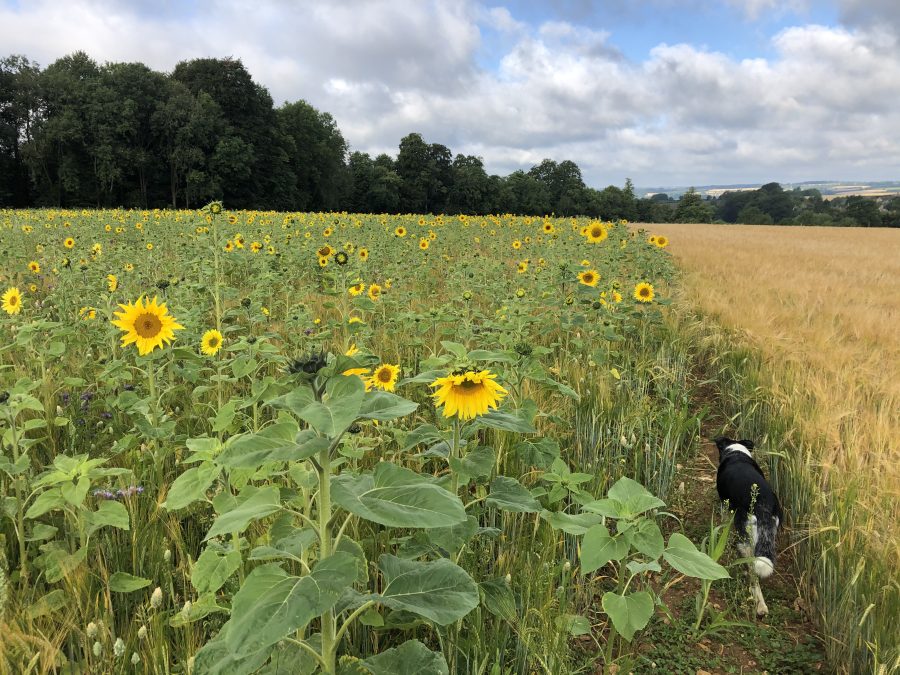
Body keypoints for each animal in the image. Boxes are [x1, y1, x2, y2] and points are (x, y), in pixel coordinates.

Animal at [716, 438, 780, 616]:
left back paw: (759, 604)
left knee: (753, 575)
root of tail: (762, 506)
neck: (736, 452)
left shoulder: (725, 505)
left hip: (745, 543)